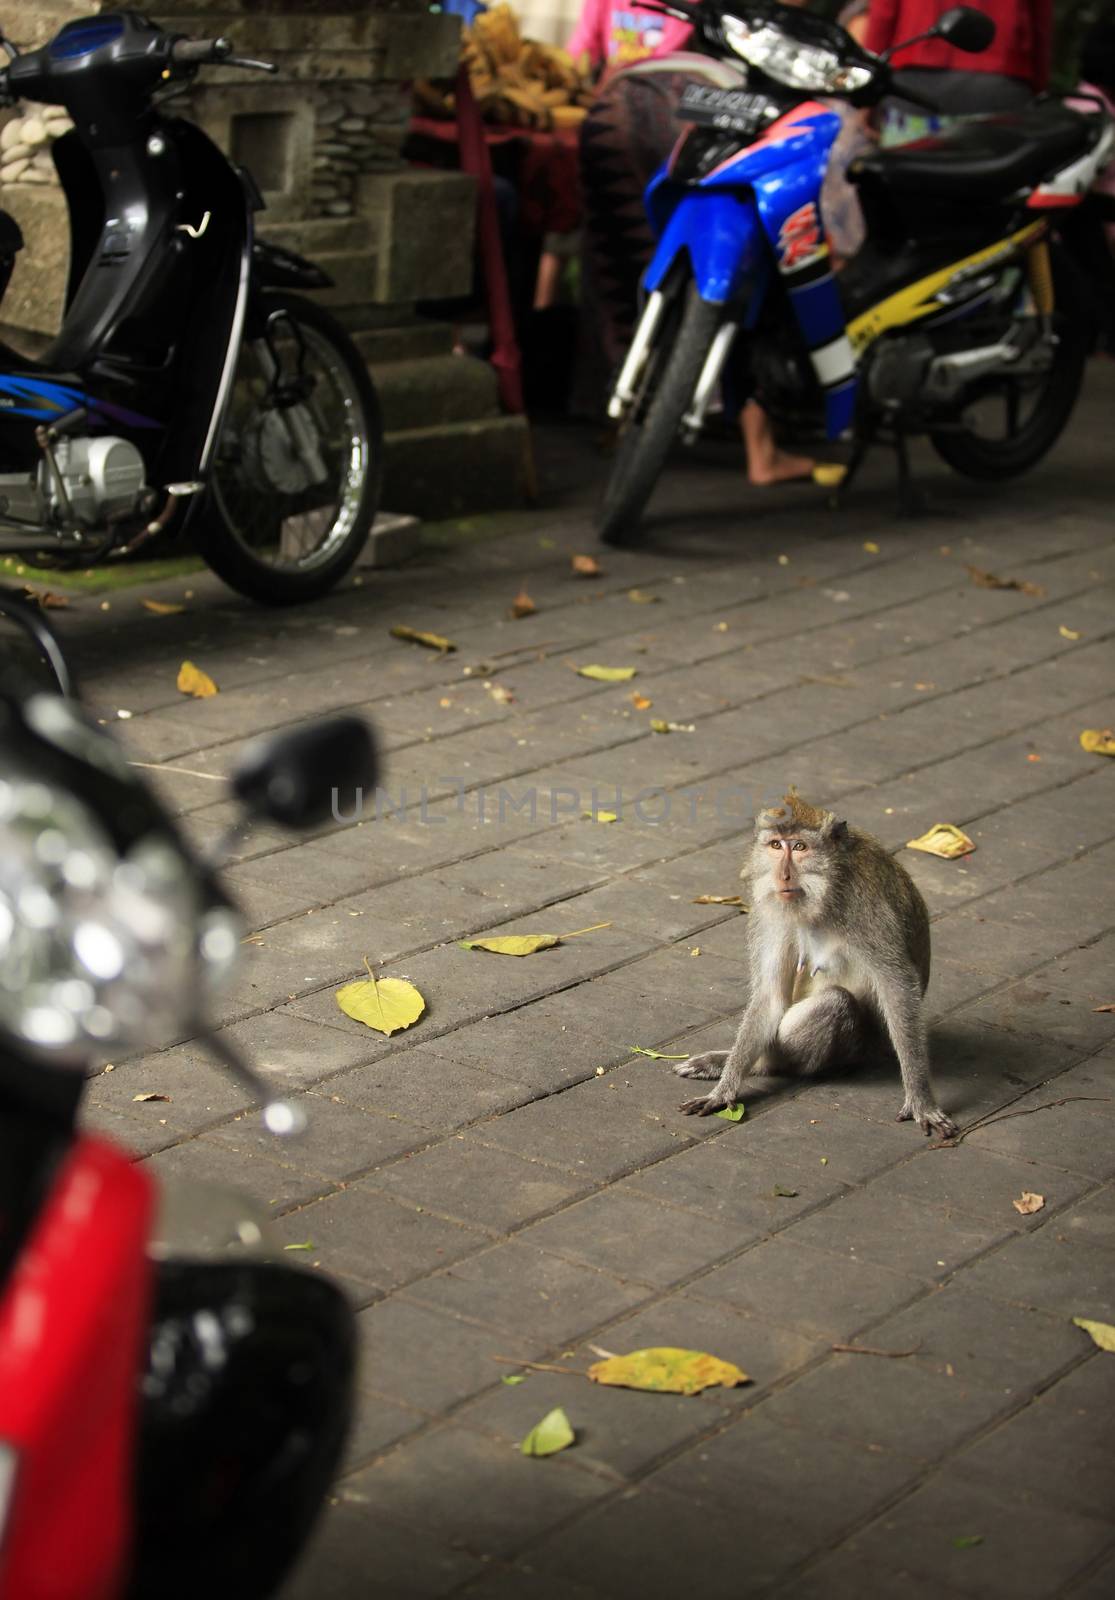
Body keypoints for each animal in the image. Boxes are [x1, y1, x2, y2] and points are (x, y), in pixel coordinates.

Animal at [675, 787, 953, 1139]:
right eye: (776, 845)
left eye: (800, 847)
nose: (783, 875)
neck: (827, 890)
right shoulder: (770, 911)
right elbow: (770, 996)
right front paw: (725, 1088)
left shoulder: (867, 909)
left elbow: (897, 989)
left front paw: (920, 1099)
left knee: (835, 1002)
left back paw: (768, 1065)